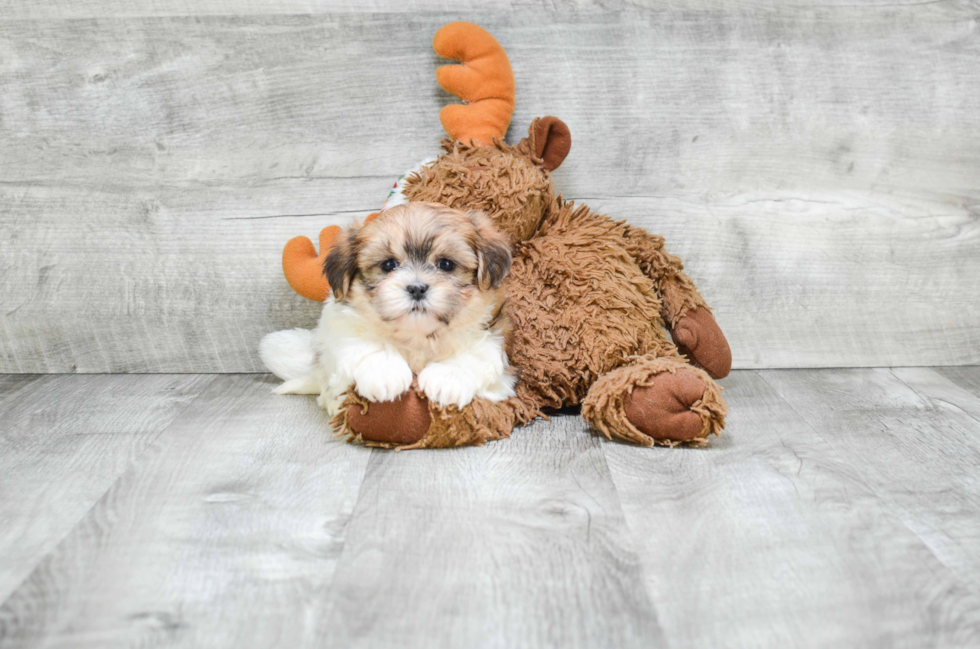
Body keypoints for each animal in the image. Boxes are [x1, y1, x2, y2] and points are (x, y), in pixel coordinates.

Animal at [264, 202, 516, 416]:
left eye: (445, 264)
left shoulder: (492, 332)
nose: (416, 288)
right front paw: (385, 374)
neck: (417, 335)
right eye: (388, 265)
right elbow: (368, 342)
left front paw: (447, 378)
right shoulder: (343, 324)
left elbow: (476, 352)